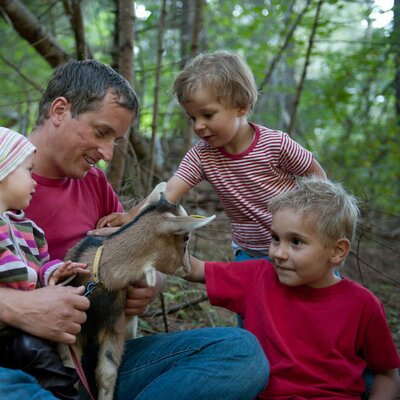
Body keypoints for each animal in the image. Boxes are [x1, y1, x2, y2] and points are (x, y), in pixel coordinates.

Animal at [65, 184, 216, 400]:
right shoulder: (70, 331)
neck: (100, 277)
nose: (188, 268)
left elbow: (106, 375)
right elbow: (71, 374)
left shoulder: (116, 326)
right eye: (186, 237)